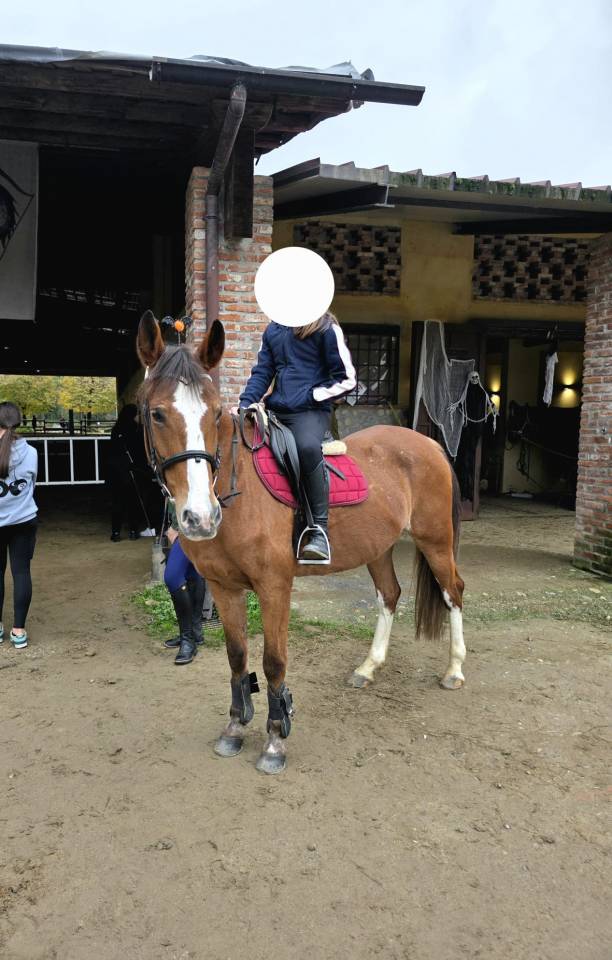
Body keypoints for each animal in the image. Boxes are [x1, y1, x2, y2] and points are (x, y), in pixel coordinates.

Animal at [137, 311, 466, 775]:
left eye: (216, 413)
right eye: (158, 414)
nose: (200, 517)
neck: (238, 492)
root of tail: (430, 443)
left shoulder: (275, 587)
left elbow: (273, 661)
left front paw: (275, 740)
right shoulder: (224, 588)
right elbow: (237, 656)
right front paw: (235, 727)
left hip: (436, 540)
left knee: (453, 592)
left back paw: (454, 670)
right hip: (379, 548)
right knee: (389, 595)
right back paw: (368, 667)